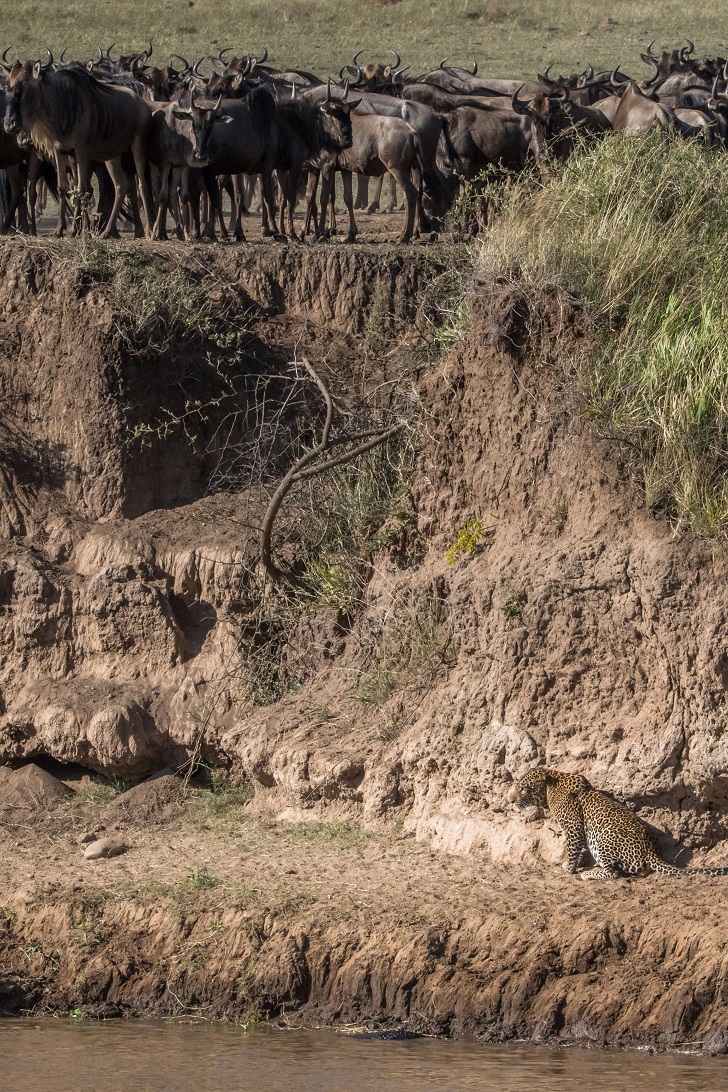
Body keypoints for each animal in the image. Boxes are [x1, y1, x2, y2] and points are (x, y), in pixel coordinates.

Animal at [506, 768, 728, 877]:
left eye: (523, 788)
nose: (510, 800)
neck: (550, 785)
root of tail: (652, 852)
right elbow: (580, 849)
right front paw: (574, 865)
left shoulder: (573, 826)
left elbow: (572, 849)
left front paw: (569, 868)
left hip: (603, 839)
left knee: (612, 873)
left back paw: (590, 874)